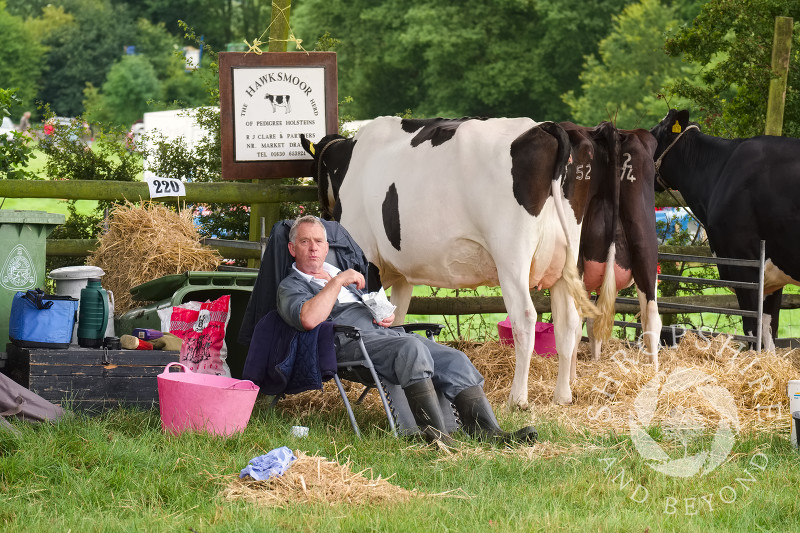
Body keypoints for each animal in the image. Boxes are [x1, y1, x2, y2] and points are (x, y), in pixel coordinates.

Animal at [300, 117, 608, 408]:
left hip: (512, 258)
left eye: (314, 172)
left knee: (525, 318)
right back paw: (563, 395)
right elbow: (395, 319)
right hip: (565, 261)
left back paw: (517, 399)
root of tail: (546, 127)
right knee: (568, 321)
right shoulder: (403, 274)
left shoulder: (369, 258)